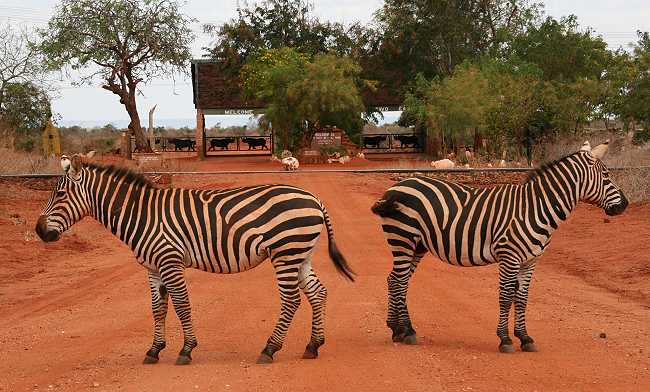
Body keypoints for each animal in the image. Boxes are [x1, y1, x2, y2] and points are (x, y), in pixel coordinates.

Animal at [36, 153, 352, 364]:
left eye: (60, 194)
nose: (39, 231)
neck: (140, 214)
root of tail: (313, 198)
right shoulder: (153, 267)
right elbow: (158, 309)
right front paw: (154, 350)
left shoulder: (170, 261)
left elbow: (182, 306)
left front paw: (186, 350)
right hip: (300, 254)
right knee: (318, 293)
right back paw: (313, 346)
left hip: (286, 253)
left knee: (291, 300)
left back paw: (270, 349)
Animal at [370, 142, 628, 354]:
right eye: (606, 175)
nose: (625, 205)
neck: (535, 208)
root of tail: (397, 186)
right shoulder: (509, 256)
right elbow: (505, 297)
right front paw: (505, 339)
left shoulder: (530, 261)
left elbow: (521, 299)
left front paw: (525, 338)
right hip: (403, 238)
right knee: (398, 281)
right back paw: (405, 331)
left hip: (417, 245)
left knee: (396, 280)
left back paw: (398, 329)